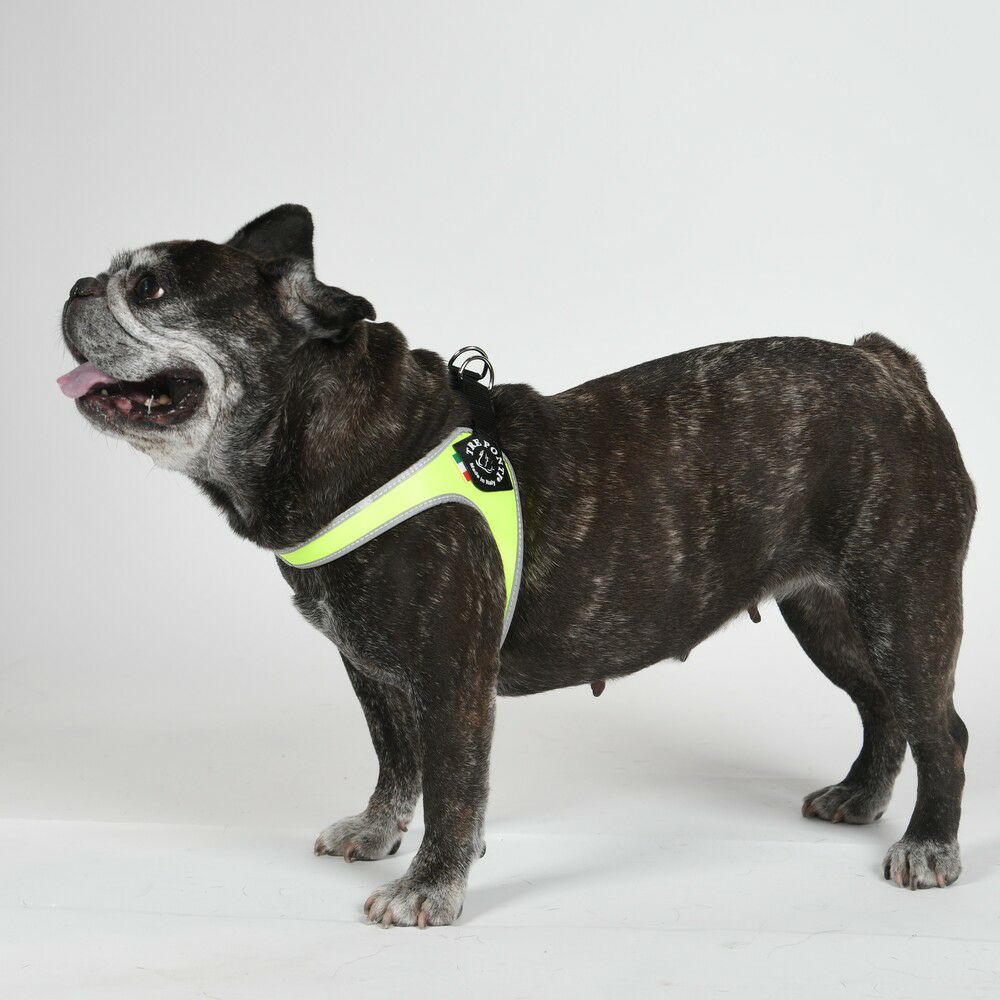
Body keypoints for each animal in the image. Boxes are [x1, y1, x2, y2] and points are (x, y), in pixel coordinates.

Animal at [58, 204, 976, 926]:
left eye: (151, 290)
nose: (77, 287)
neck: (359, 445)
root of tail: (887, 364)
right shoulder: (372, 669)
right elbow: (396, 758)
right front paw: (379, 830)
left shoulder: (451, 674)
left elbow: (454, 784)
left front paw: (430, 885)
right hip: (825, 612)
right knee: (883, 707)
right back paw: (861, 797)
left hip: (903, 606)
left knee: (940, 726)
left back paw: (929, 841)